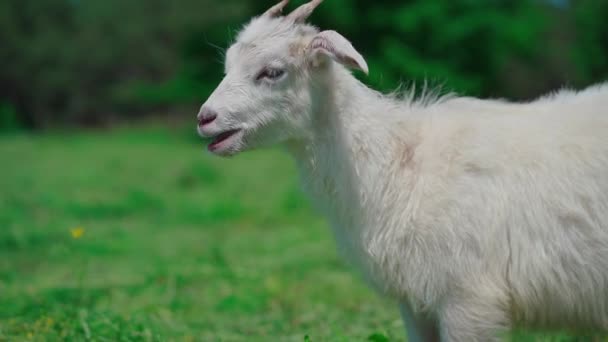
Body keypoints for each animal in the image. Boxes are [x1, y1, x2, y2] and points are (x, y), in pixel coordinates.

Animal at [196, 1, 608, 340]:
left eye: (272, 71)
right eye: (228, 65)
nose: (205, 119)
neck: (398, 162)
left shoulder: (467, 299)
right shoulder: (416, 303)